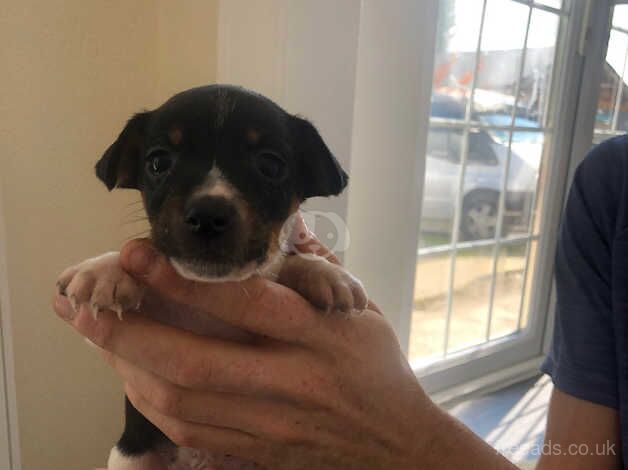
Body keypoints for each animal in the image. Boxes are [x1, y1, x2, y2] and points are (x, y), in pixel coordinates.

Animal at [55, 85, 368, 470]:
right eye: (158, 163)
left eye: (270, 165)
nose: (207, 214)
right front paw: (104, 270)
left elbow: (285, 263)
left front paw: (328, 273)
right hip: (130, 458)